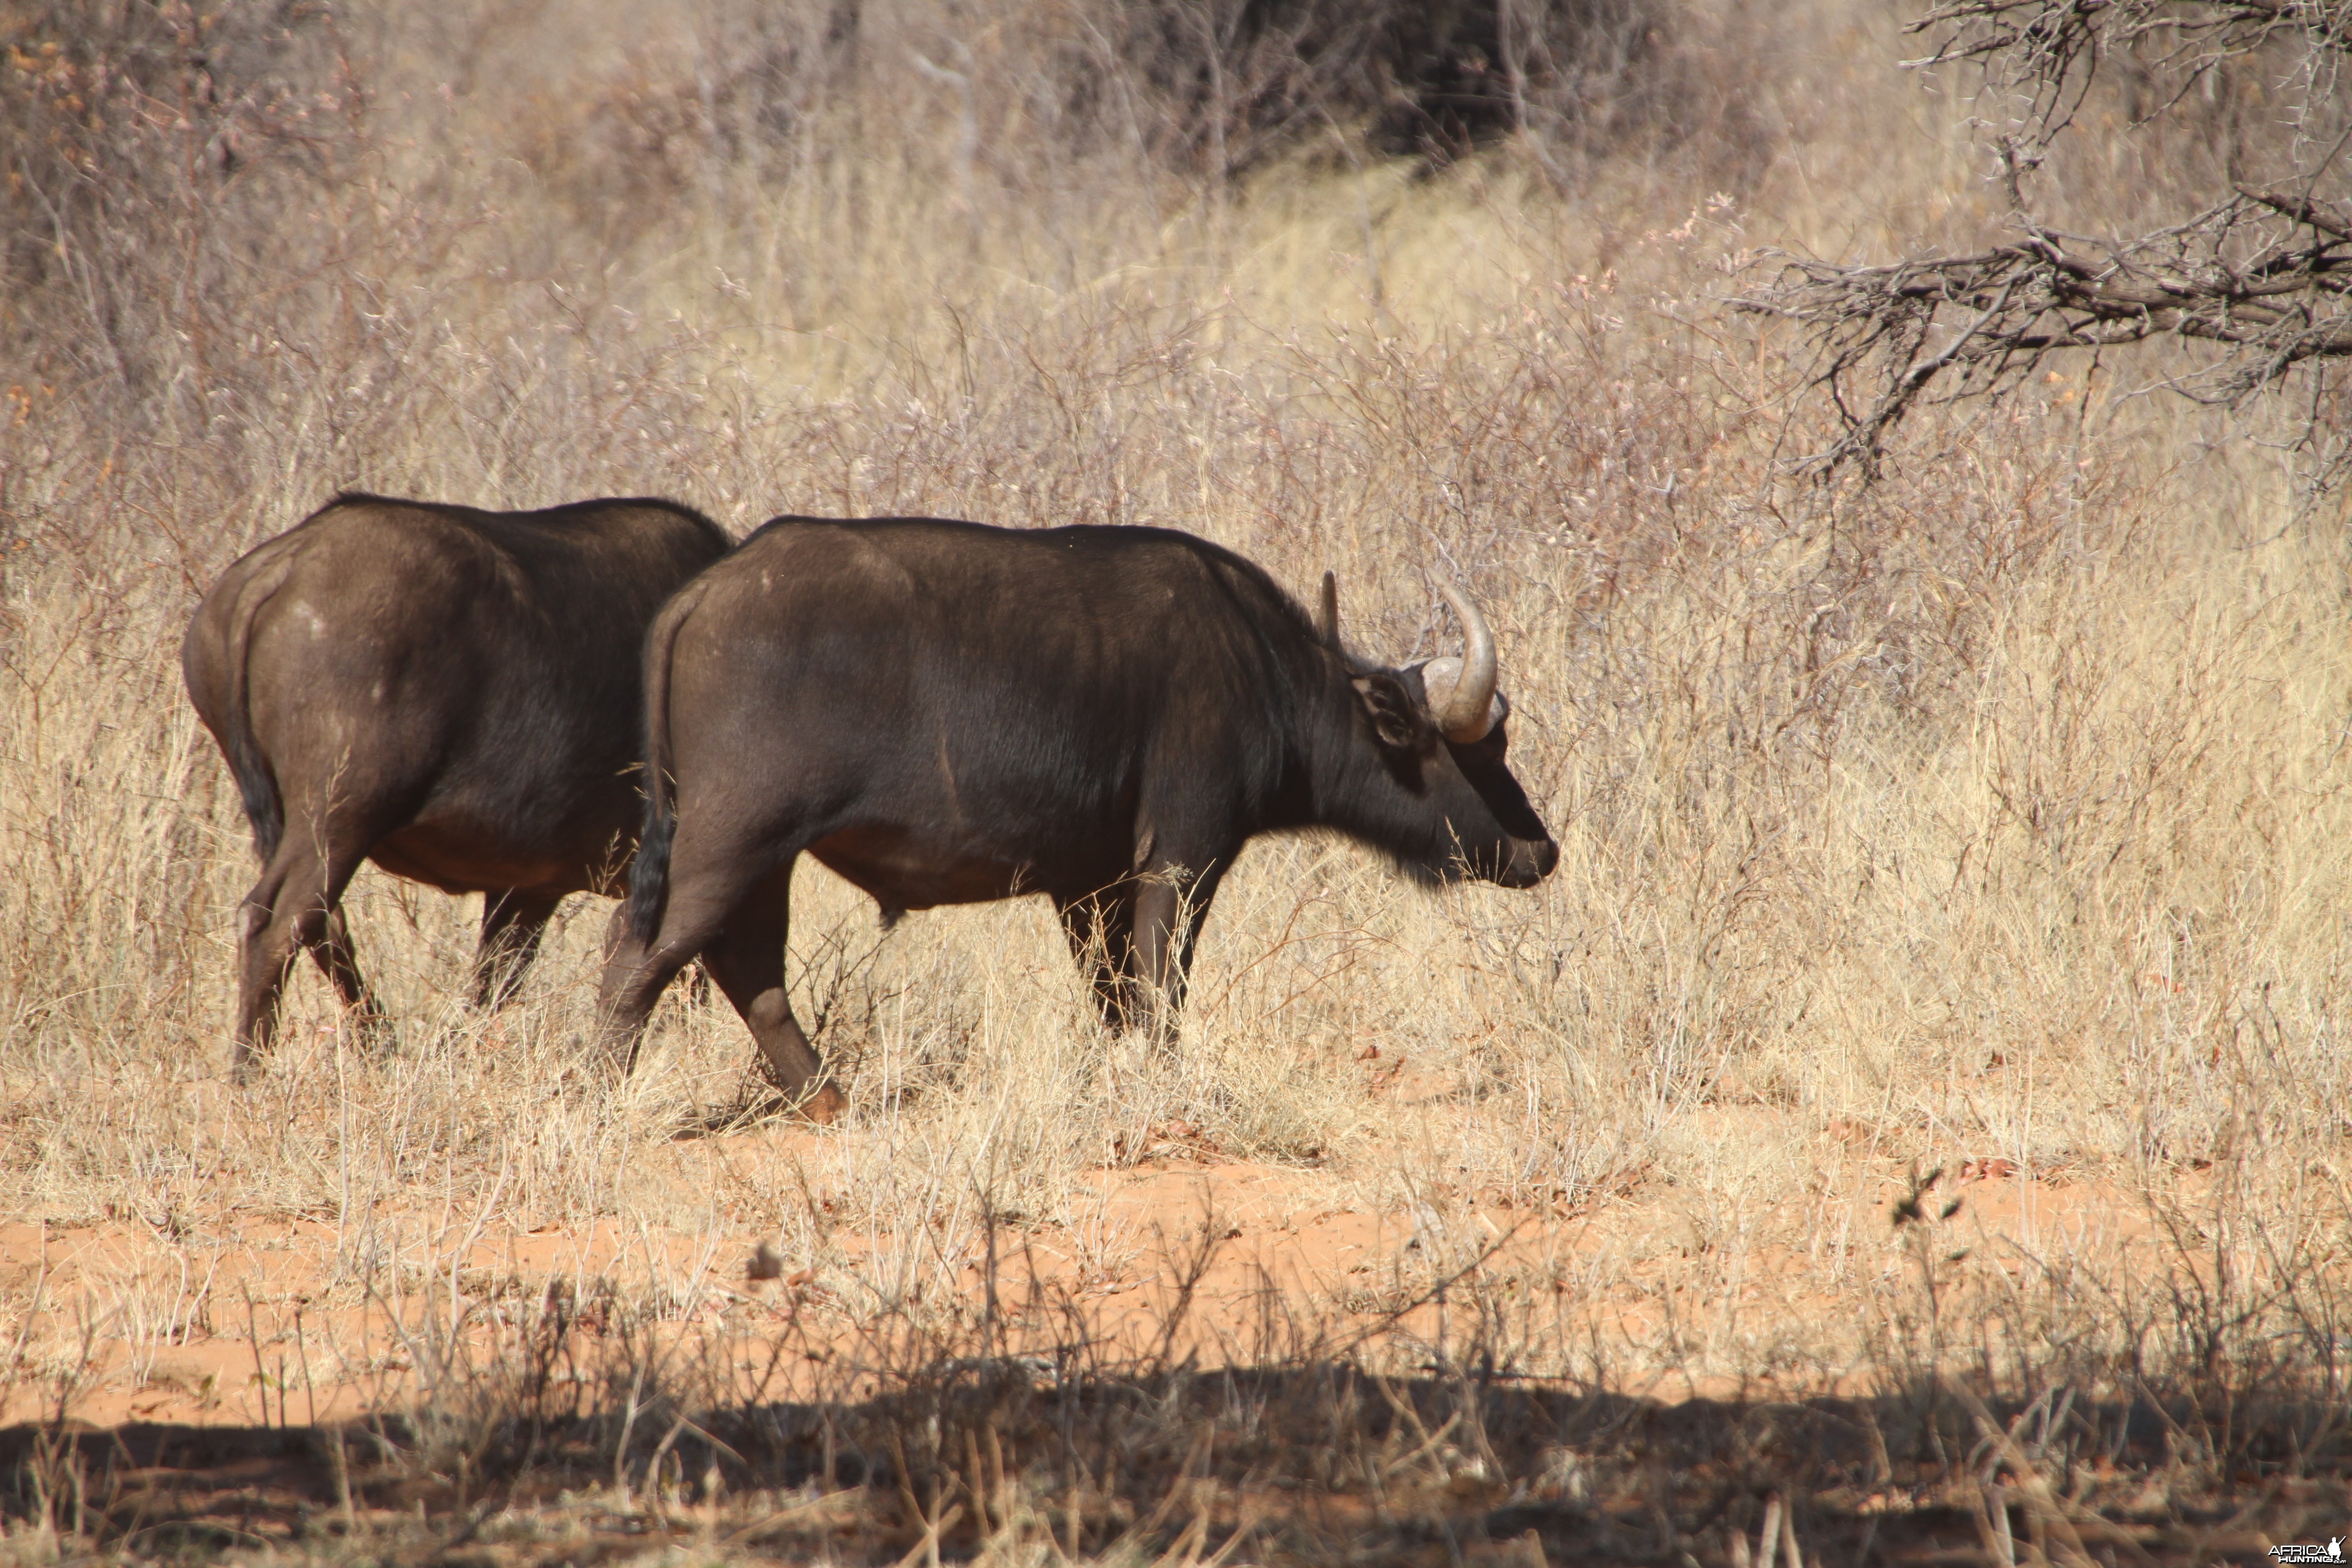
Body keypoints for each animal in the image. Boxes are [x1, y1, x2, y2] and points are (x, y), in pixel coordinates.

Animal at [187, 494, 724, 1081]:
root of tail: (282, 565)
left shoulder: (528, 888)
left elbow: (497, 979)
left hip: (295, 823)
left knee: (324, 925)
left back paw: (378, 1043)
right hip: (338, 815)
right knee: (276, 923)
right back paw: (250, 1072)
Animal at [593, 517, 1562, 1114]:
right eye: (1481, 752)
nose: (1540, 851)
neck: (1264, 670)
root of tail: (701, 595)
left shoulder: (1085, 885)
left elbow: (1110, 995)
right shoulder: (1181, 857)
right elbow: (1158, 987)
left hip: (767, 856)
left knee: (744, 965)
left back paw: (827, 1097)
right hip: (731, 839)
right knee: (640, 956)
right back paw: (597, 1089)